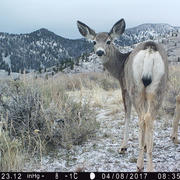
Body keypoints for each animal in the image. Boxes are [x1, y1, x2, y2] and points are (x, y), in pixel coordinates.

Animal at [76, 18, 169, 172]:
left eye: (108, 41)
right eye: (94, 42)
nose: (100, 52)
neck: (119, 67)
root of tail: (150, 49)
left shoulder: (124, 87)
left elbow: (127, 115)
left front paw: (123, 147)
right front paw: (144, 144)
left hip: (135, 86)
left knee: (142, 118)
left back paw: (139, 164)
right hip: (158, 87)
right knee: (149, 117)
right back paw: (150, 165)